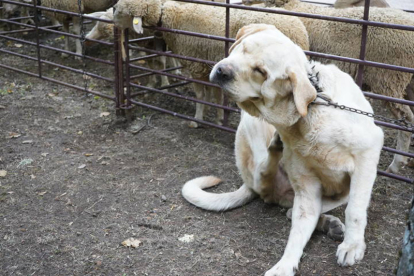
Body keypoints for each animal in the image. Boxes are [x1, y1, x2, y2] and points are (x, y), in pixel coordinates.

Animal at [111, 0, 308, 128]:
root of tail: (300, 30)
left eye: (122, 12)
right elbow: (216, 95)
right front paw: (219, 118)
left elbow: (201, 96)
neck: (168, 17)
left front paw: (197, 119)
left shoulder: (196, 65)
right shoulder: (212, 67)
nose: (112, 10)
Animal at [210, 24, 384, 276]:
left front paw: (352, 246)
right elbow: (297, 231)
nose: (222, 71)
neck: (310, 111)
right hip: (251, 128)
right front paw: (284, 265)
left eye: (260, 71)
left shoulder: (367, 154)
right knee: (264, 180)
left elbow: (355, 210)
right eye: (243, 48)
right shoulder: (306, 185)